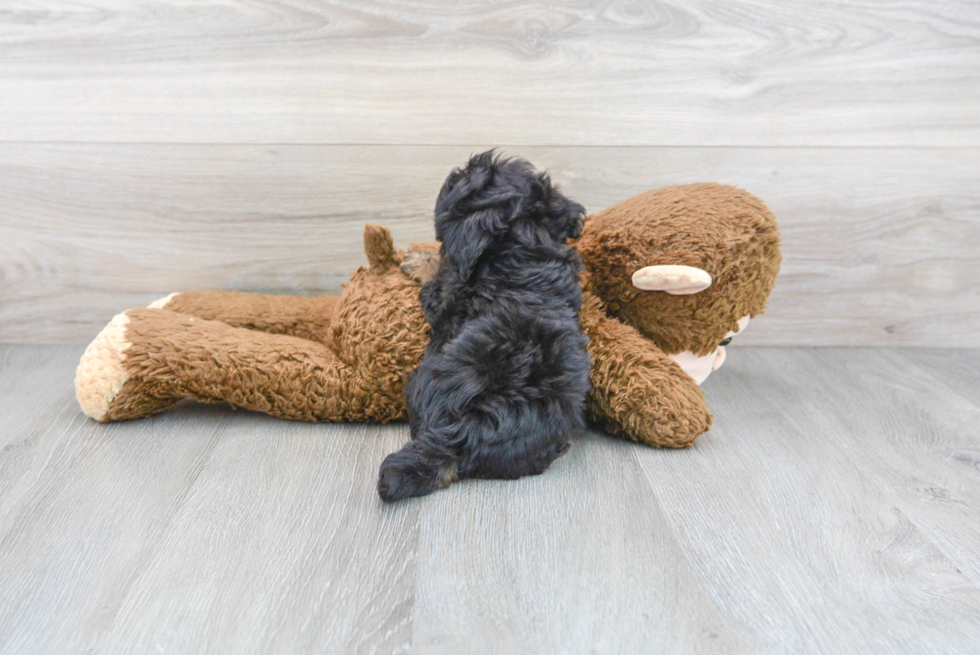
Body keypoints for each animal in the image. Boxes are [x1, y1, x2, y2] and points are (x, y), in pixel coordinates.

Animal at [376, 152, 588, 502]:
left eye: (459, 183)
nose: (453, 172)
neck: (526, 241)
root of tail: (462, 432)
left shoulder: (444, 295)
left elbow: (439, 271)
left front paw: (417, 258)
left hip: (420, 380)